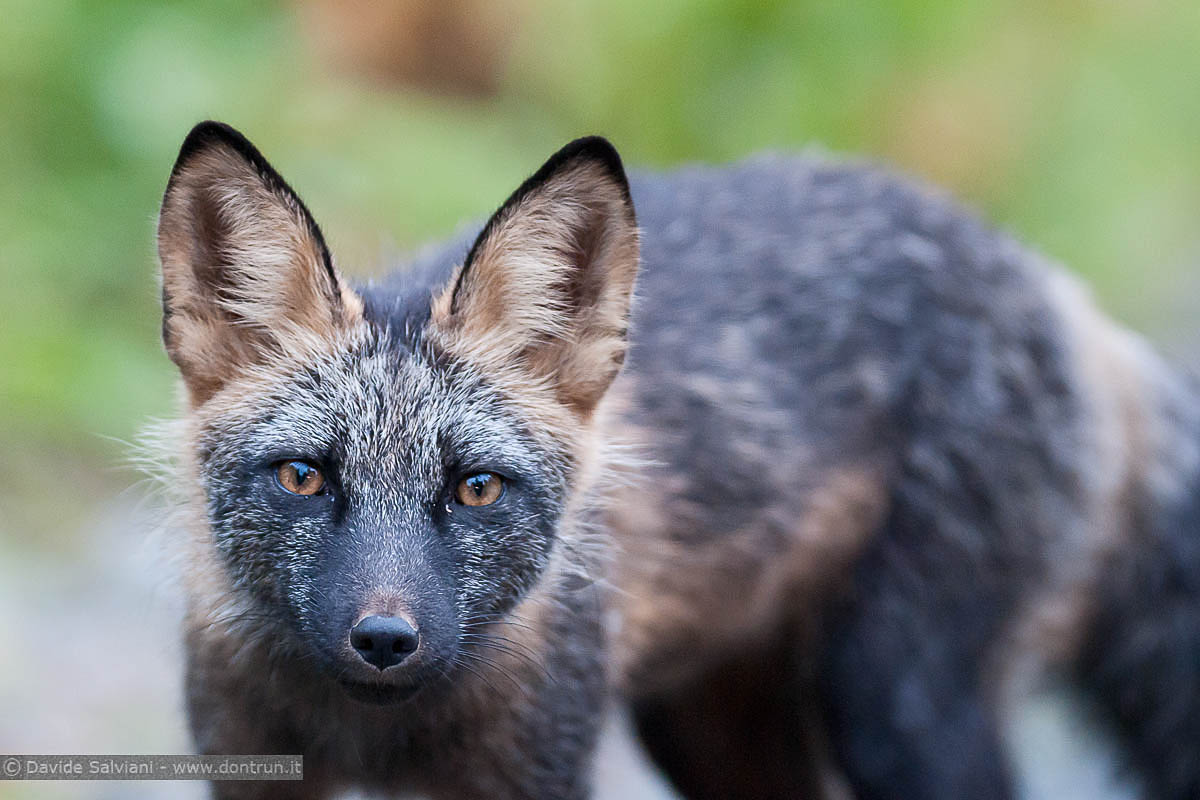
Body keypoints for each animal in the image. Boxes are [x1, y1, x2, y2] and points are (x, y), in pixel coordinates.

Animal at [154, 120, 1200, 800]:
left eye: (475, 489)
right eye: (305, 477)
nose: (384, 639)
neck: (379, 740)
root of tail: (1050, 283)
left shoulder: (542, 768)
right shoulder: (251, 765)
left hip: (897, 708)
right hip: (710, 731)